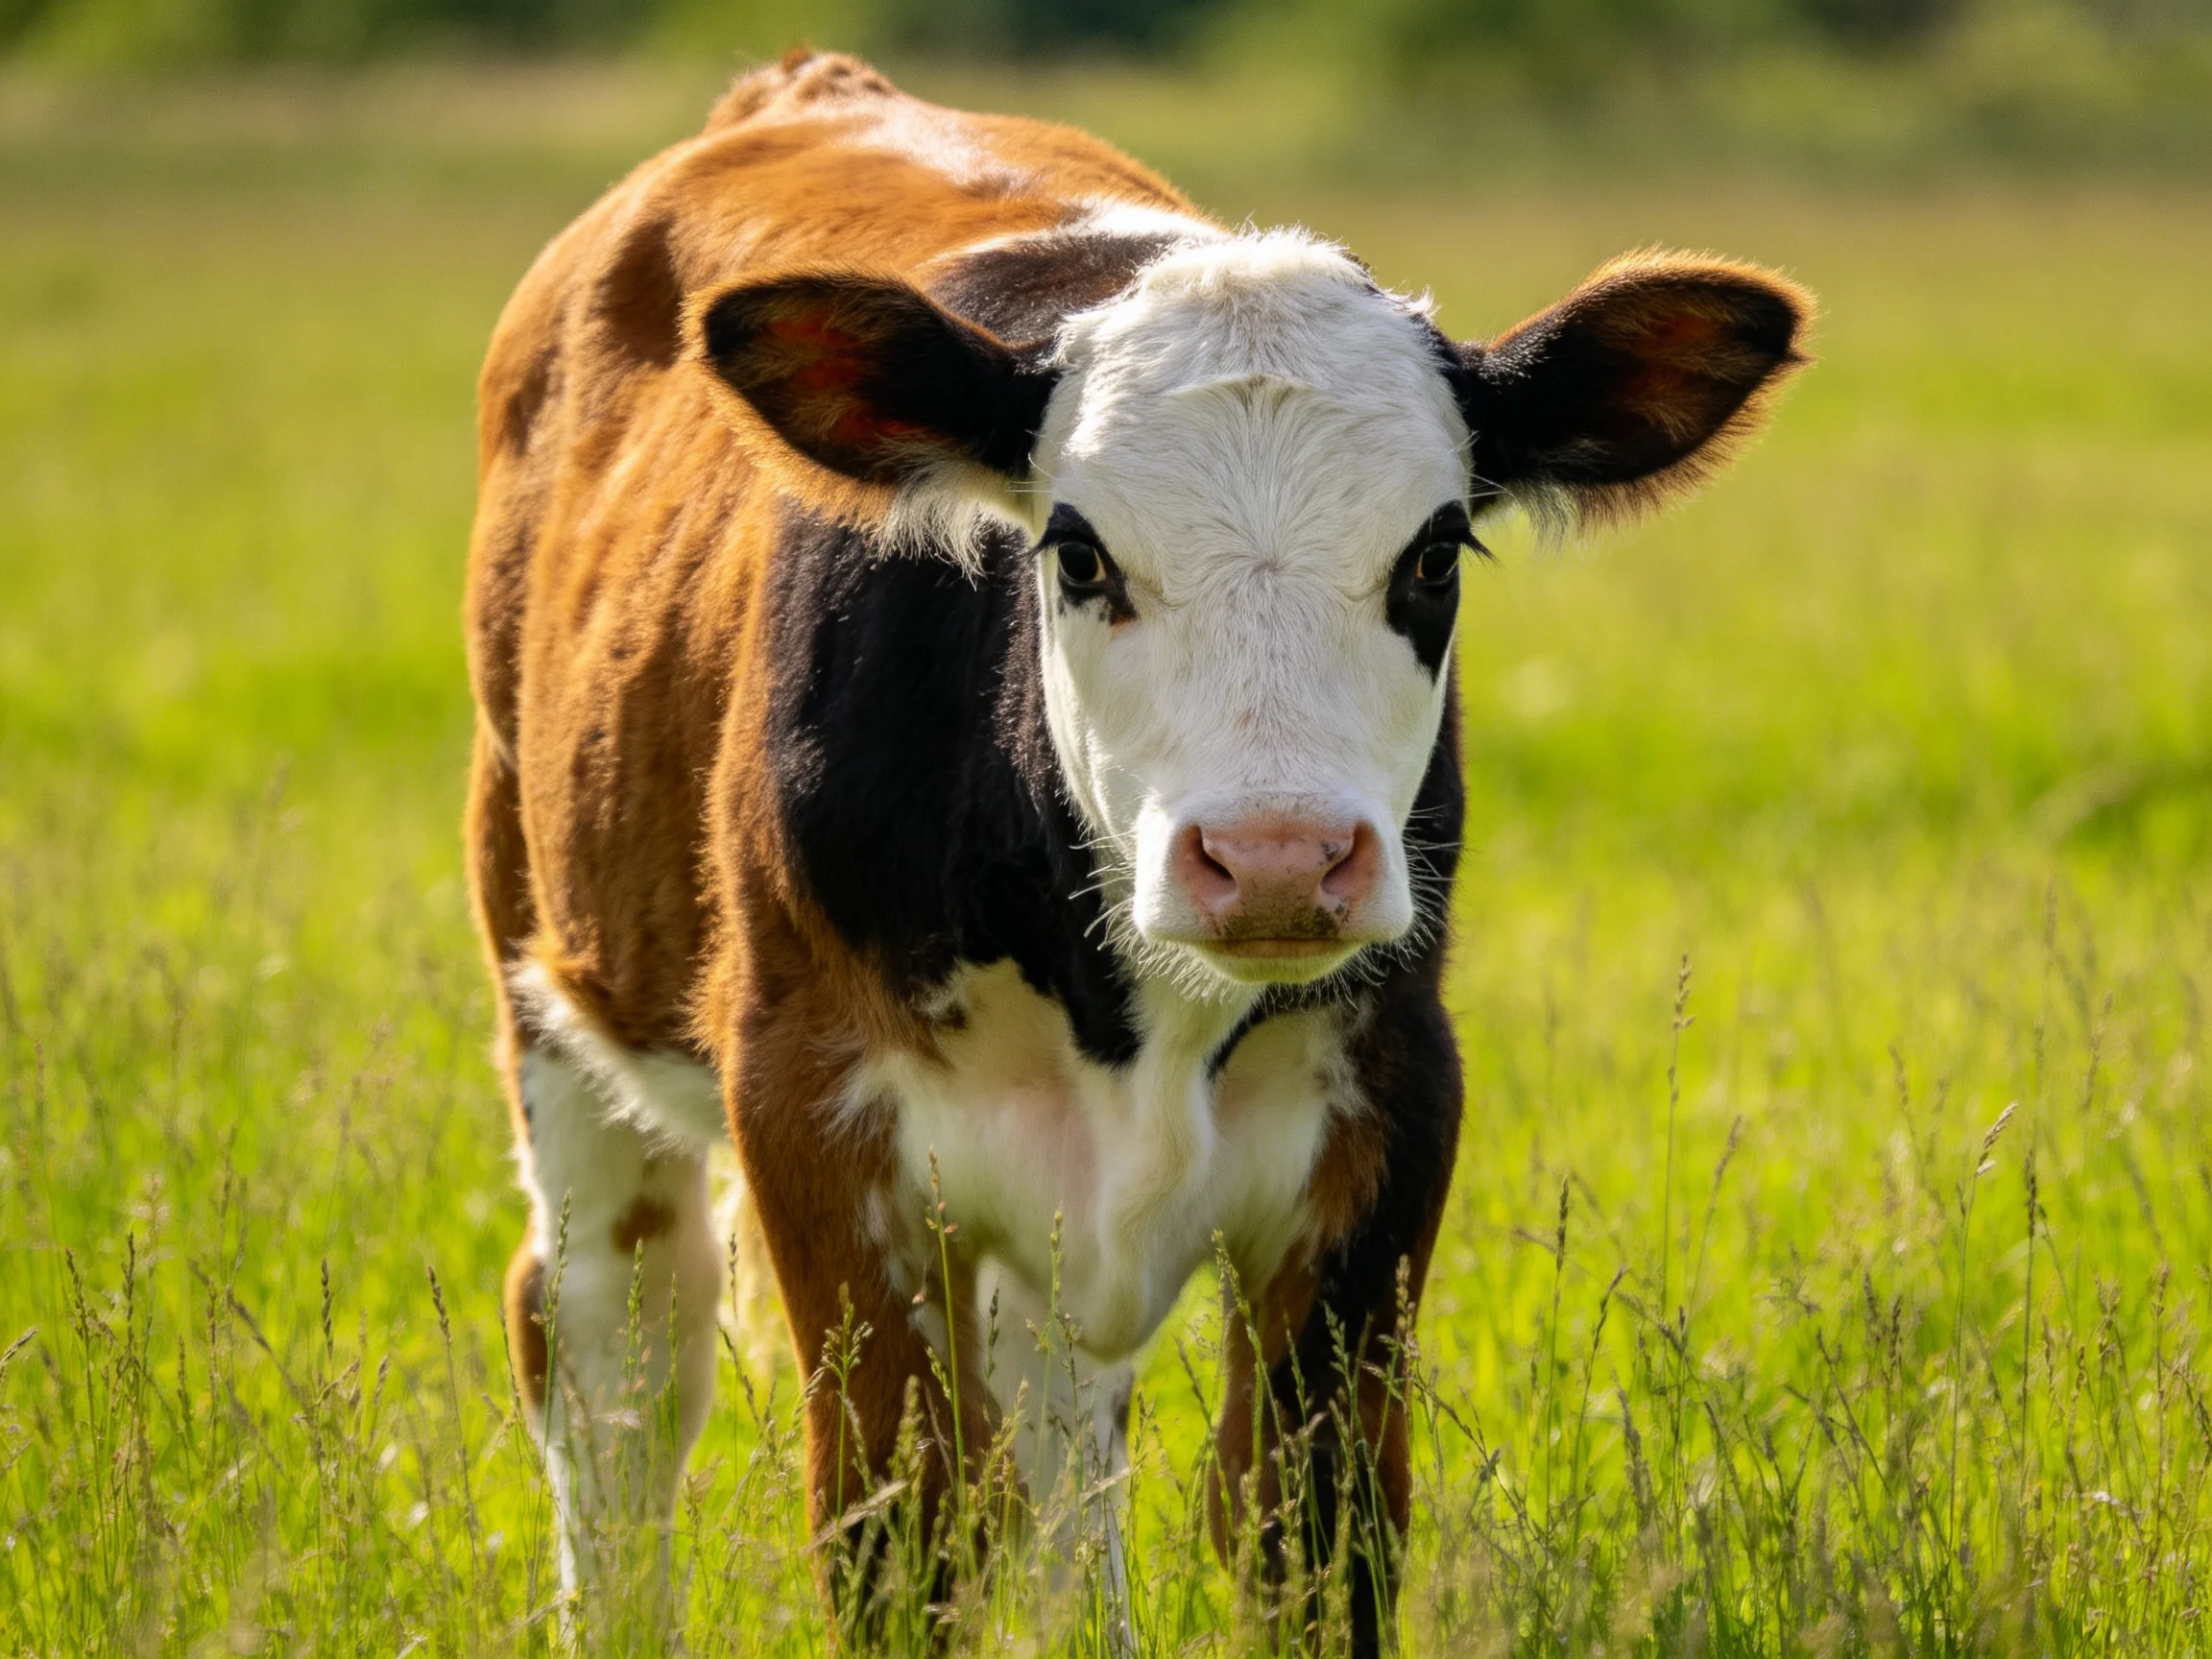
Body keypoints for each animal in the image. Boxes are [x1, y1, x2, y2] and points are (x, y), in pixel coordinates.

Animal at [464, 48, 1809, 1649]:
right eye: (1077, 552)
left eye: (1434, 554)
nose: (1279, 857)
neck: (1127, 1018)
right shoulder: (813, 1116)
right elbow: (894, 1535)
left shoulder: (1387, 1116)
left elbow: (1313, 1536)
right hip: (554, 989)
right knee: (612, 1358)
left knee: (1055, 1448)